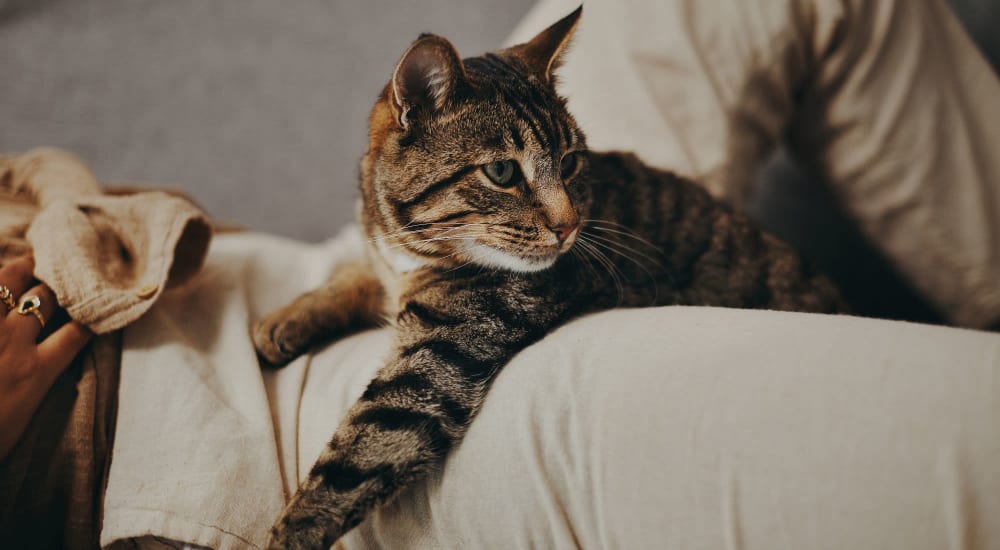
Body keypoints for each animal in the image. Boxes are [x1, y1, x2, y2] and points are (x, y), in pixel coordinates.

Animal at [250, 6, 844, 548]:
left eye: (571, 162)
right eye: (502, 171)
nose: (569, 225)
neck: (414, 248)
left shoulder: (439, 359)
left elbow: (357, 454)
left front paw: (290, 533)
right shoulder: (386, 265)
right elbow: (355, 274)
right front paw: (284, 320)